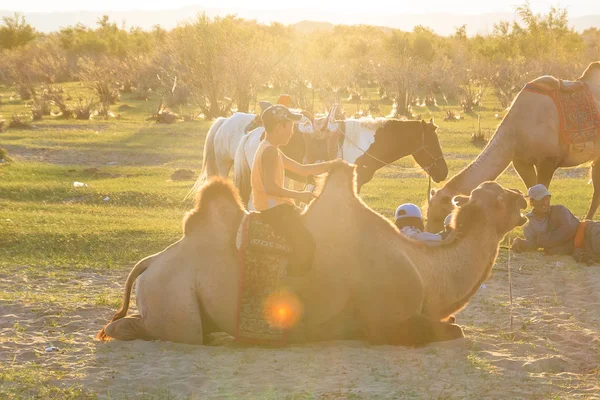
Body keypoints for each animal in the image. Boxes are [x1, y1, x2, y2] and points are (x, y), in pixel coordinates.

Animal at [97, 161, 524, 346]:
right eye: (499, 199)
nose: (522, 197)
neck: (425, 269)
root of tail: (150, 263)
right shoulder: (388, 322)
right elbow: (449, 329)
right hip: (175, 304)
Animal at [426, 61, 600, 233]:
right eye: (428, 214)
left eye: (439, 215)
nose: (431, 232)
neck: (516, 130)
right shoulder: (520, 160)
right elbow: (531, 192)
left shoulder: (548, 160)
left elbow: (543, 193)